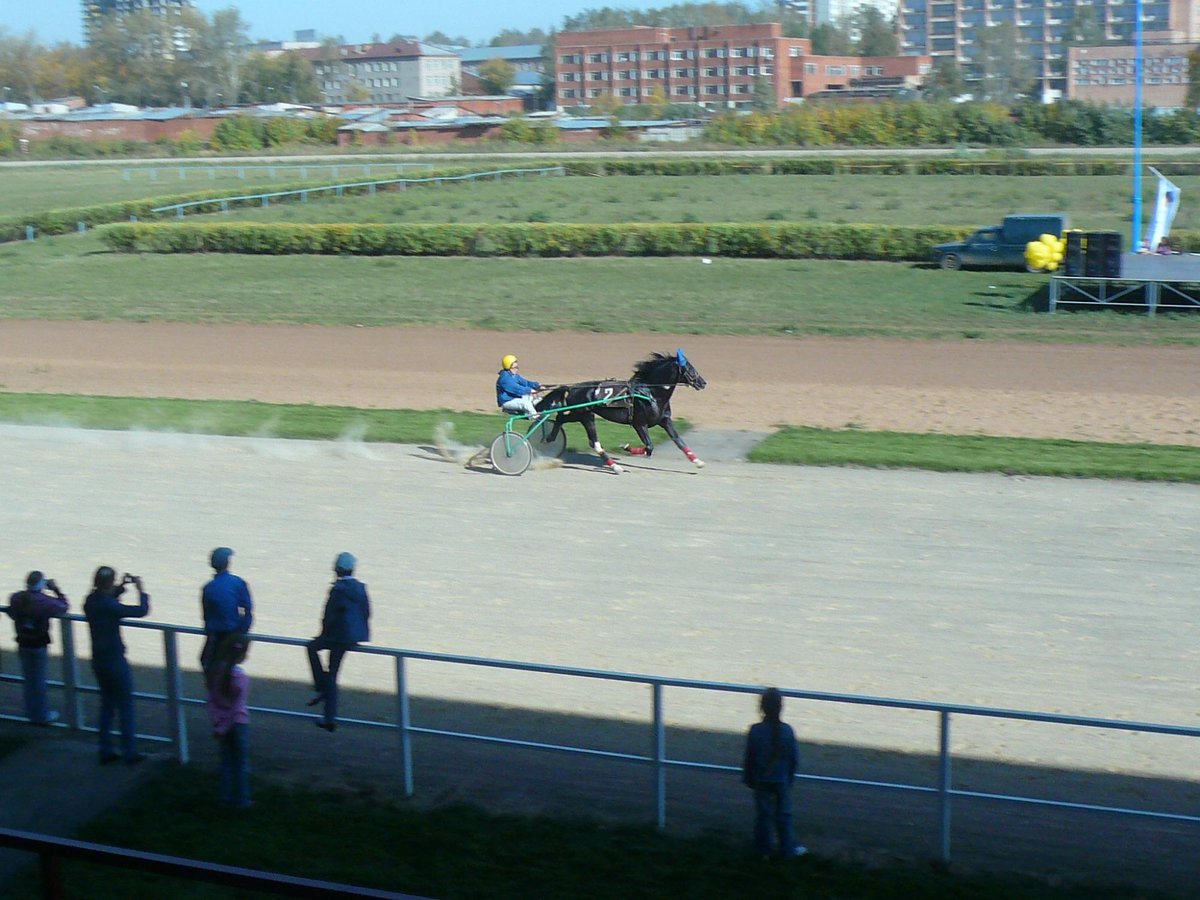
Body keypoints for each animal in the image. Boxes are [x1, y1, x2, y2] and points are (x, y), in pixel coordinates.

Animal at [540, 350, 705, 475]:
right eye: (690, 369)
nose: (703, 382)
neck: (650, 393)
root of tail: (572, 387)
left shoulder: (664, 420)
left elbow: (678, 441)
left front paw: (698, 462)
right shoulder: (639, 424)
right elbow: (649, 447)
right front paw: (625, 447)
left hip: (580, 414)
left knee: (562, 419)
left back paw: (548, 438)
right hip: (584, 415)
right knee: (588, 438)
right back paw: (616, 467)